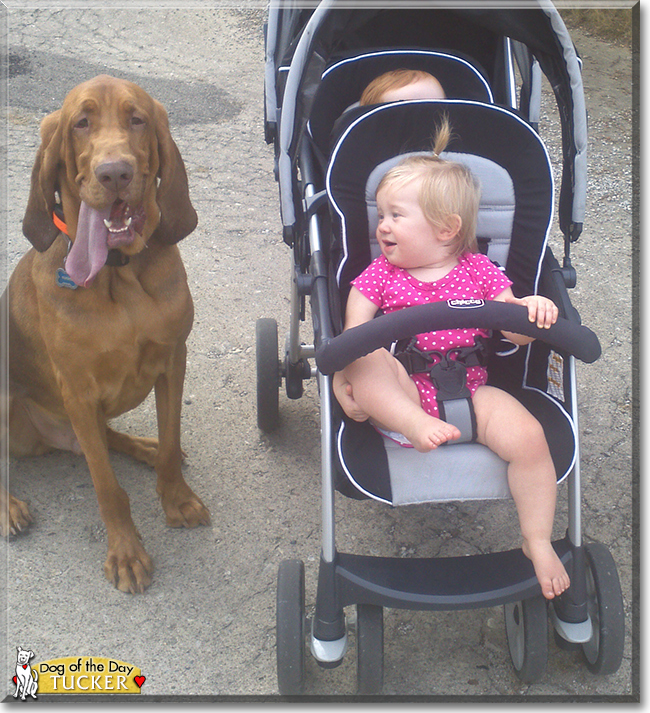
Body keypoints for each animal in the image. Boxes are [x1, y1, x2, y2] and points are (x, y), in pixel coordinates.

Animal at [1, 75, 210, 592]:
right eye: (81, 123)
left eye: (137, 119)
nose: (115, 173)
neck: (119, 273)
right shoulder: (78, 391)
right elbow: (106, 486)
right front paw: (127, 554)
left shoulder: (173, 360)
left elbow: (171, 443)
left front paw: (176, 498)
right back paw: (8, 508)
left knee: (107, 438)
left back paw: (143, 447)